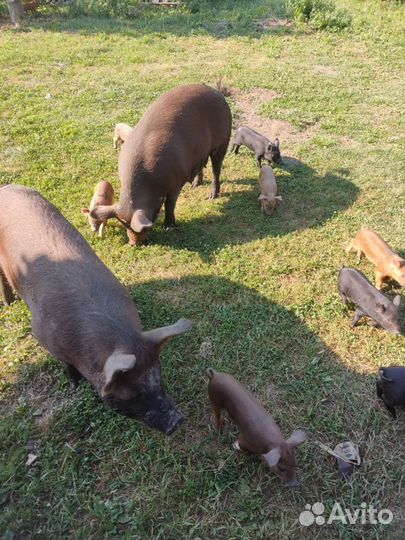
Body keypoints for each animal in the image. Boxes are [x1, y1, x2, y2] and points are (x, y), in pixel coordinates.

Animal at [0, 186, 192, 434]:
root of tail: (7, 188)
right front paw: (74, 385)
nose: (176, 421)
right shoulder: (42, 334)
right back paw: (9, 303)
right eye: (130, 394)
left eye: (158, 378)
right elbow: (67, 365)